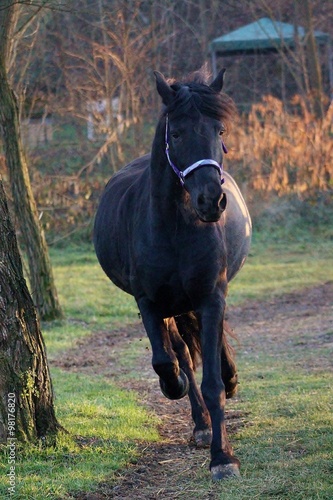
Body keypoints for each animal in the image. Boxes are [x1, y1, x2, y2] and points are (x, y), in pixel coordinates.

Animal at [92, 68, 250, 478]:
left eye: (219, 130)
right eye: (176, 133)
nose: (211, 201)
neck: (177, 226)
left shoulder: (211, 295)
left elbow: (212, 382)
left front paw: (222, 458)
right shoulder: (149, 302)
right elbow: (166, 362)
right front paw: (174, 385)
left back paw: (227, 381)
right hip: (171, 306)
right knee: (180, 351)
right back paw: (198, 422)